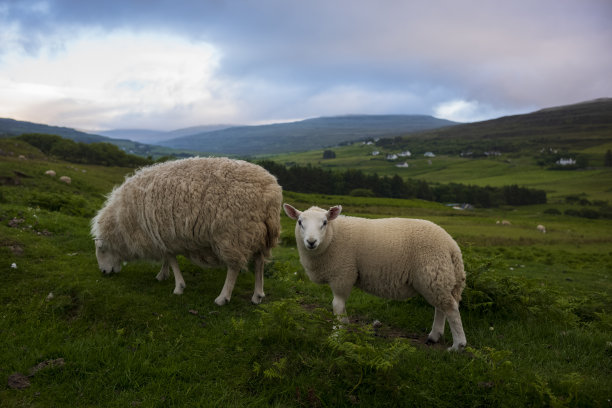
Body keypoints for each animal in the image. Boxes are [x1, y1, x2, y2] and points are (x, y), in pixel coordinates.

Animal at [92, 158, 284, 304]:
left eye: (102, 250)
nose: (103, 272)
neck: (124, 221)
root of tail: (271, 192)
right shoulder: (163, 236)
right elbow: (167, 258)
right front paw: (163, 275)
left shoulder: (162, 235)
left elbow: (171, 259)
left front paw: (178, 287)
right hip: (258, 233)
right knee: (259, 262)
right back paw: (257, 295)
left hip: (233, 235)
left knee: (234, 267)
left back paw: (223, 297)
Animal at [284, 204, 466, 350]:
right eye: (300, 222)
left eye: (324, 223)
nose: (311, 242)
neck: (333, 236)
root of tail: (452, 245)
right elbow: (340, 306)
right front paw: (344, 325)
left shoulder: (342, 274)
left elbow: (337, 305)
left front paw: (336, 334)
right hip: (437, 277)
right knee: (441, 308)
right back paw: (434, 336)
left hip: (432, 273)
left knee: (450, 308)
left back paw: (458, 345)